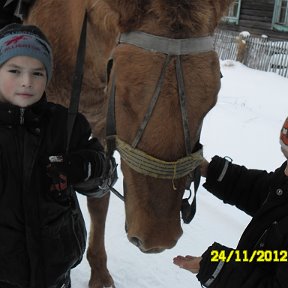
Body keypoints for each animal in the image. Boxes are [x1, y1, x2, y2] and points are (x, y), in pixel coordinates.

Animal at [23, 0, 233, 286]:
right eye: (121, 92)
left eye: (211, 101)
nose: (158, 237)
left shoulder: (98, 139)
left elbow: (98, 201)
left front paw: (99, 270)